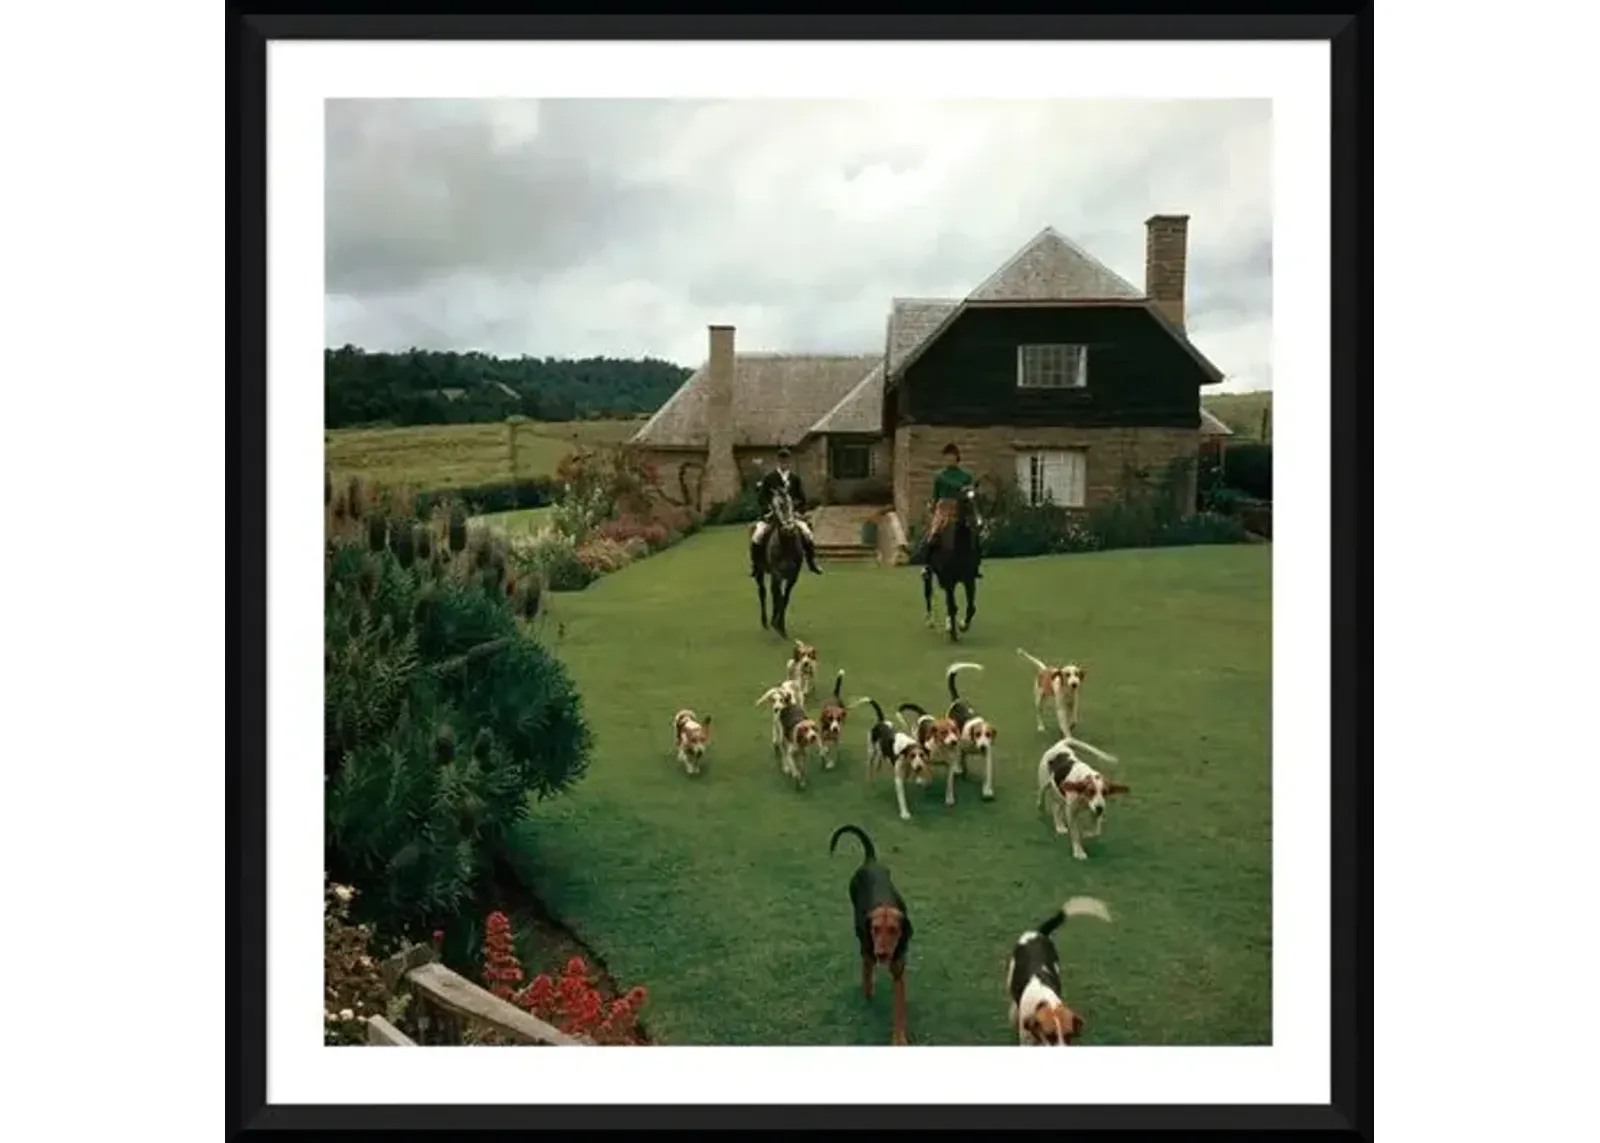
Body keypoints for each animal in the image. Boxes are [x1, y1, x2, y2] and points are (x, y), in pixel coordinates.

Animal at [921, 480, 979, 640]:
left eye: (978, 498)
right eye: (965, 500)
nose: (978, 523)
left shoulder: (969, 579)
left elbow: (971, 607)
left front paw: (963, 625)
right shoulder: (948, 580)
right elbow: (953, 606)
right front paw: (953, 631)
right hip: (932, 575)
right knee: (928, 592)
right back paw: (930, 621)